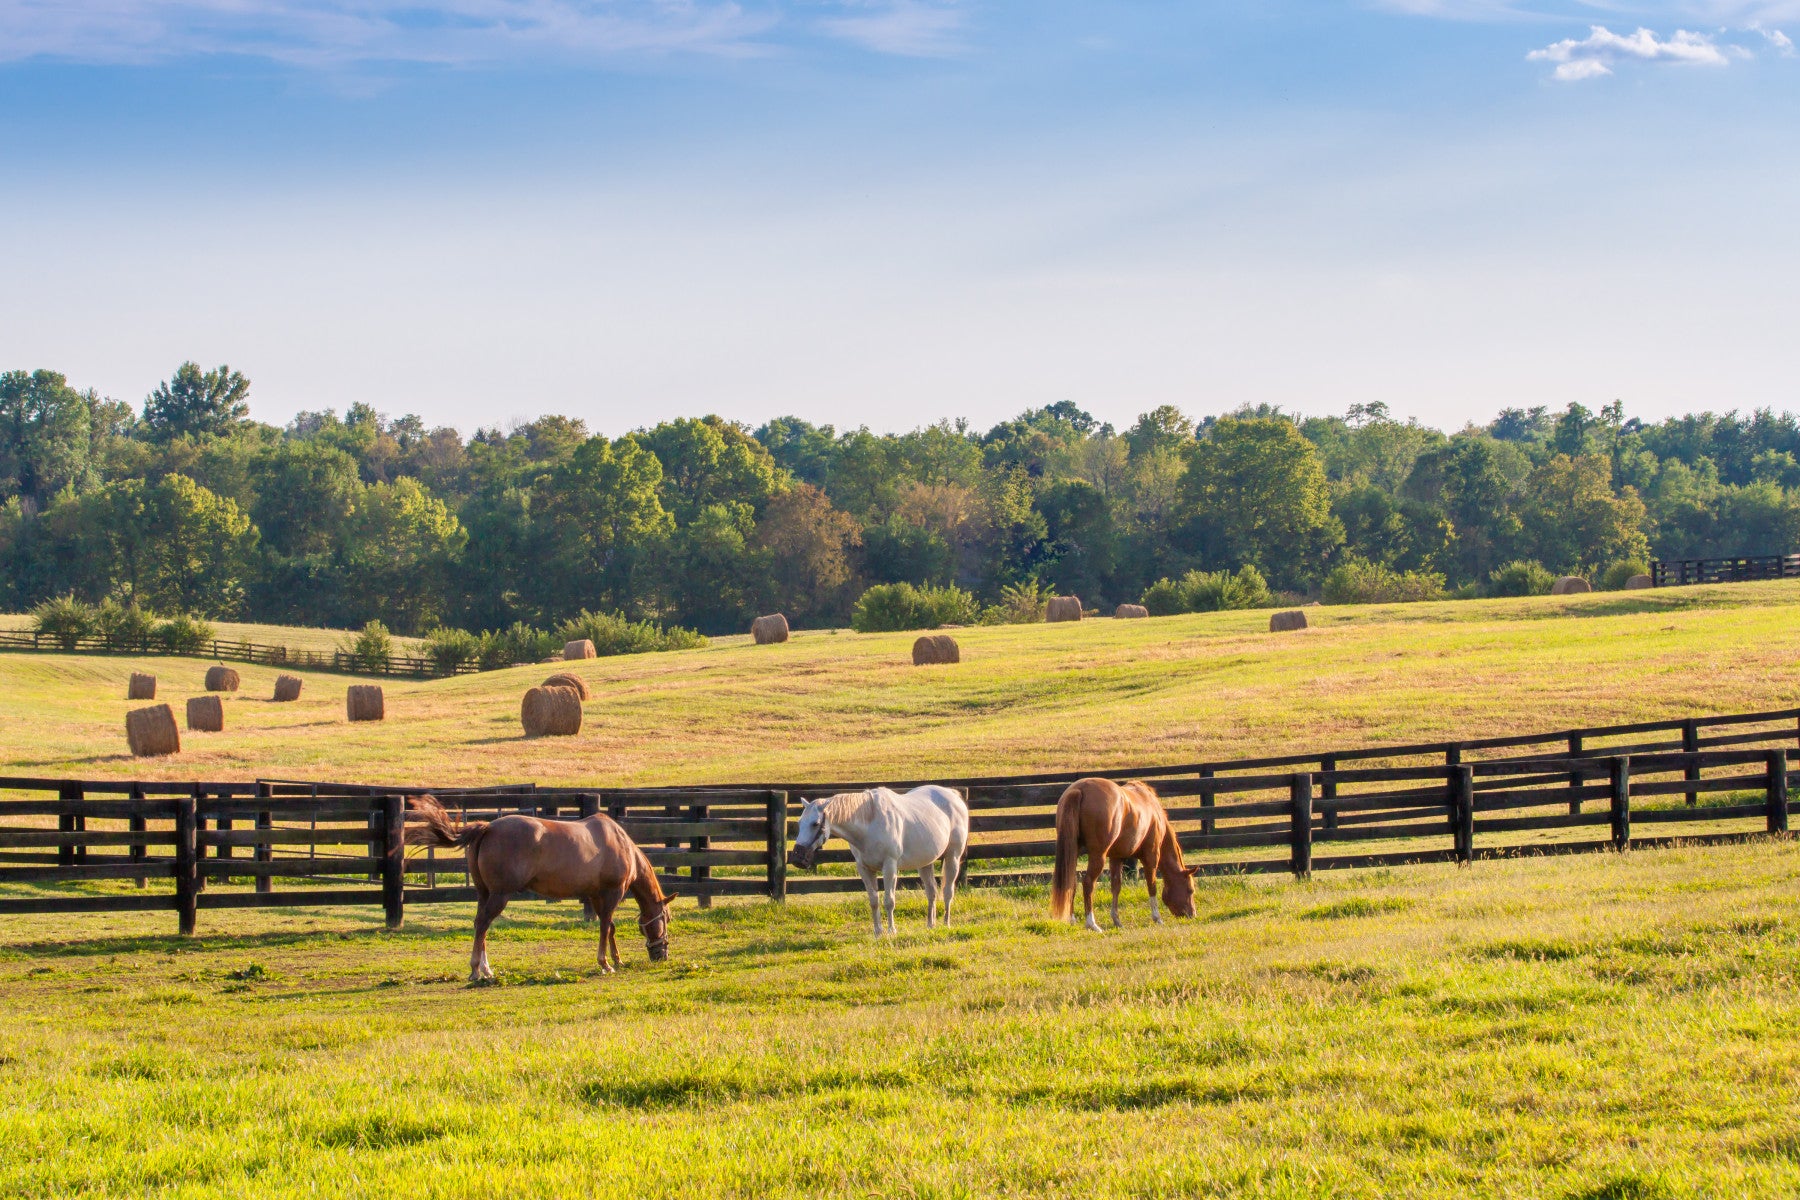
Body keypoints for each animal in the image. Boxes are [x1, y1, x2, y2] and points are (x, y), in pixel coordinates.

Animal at [405, 795, 675, 981]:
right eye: (667, 919)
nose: (662, 956)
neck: (621, 845)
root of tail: (488, 828)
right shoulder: (611, 894)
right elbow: (606, 927)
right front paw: (605, 963)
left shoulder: (596, 896)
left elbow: (610, 928)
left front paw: (617, 960)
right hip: (499, 895)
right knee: (482, 924)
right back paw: (475, 970)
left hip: (484, 893)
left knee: (480, 924)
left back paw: (486, 968)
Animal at [790, 786, 970, 935]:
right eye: (799, 822)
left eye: (815, 823)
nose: (798, 858)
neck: (870, 822)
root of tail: (952, 795)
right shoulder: (864, 869)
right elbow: (874, 901)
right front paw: (878, 931)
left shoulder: (889, 866)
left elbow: (889, 901)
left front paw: (891, 930)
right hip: (925, 863)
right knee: (931, 892)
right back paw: (930, 925)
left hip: (953, 857)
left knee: (947, 892)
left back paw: (946, 923)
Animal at [1049, 777, 1198, 931]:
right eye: (1190, 890)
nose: (1192, 914)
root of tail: (1080, 789)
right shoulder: (1151, 857)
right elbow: (1152, 886)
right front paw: (1157, 918)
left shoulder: (1116, 857)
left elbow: (1116, 887)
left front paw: (1117, 920)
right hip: (1098, 856)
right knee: (1088, 883)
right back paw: (1092, 923)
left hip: (1073, 853)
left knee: (1071, 883)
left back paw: (1072, 920)